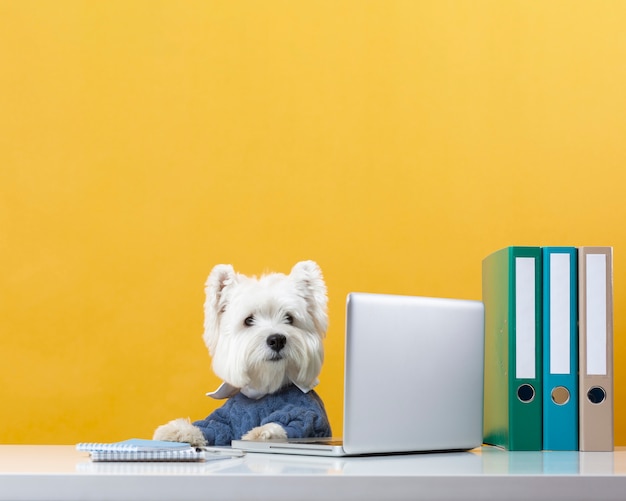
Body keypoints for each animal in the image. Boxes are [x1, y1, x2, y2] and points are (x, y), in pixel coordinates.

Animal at [153, 260, 332, 444]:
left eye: (289, 318)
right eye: (249, 320)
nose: (277, 340)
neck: (262, 390)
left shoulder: (308, 413)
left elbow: (292, 423)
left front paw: (261, 432)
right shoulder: (225, 419)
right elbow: (213, 427)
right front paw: (178, 431)